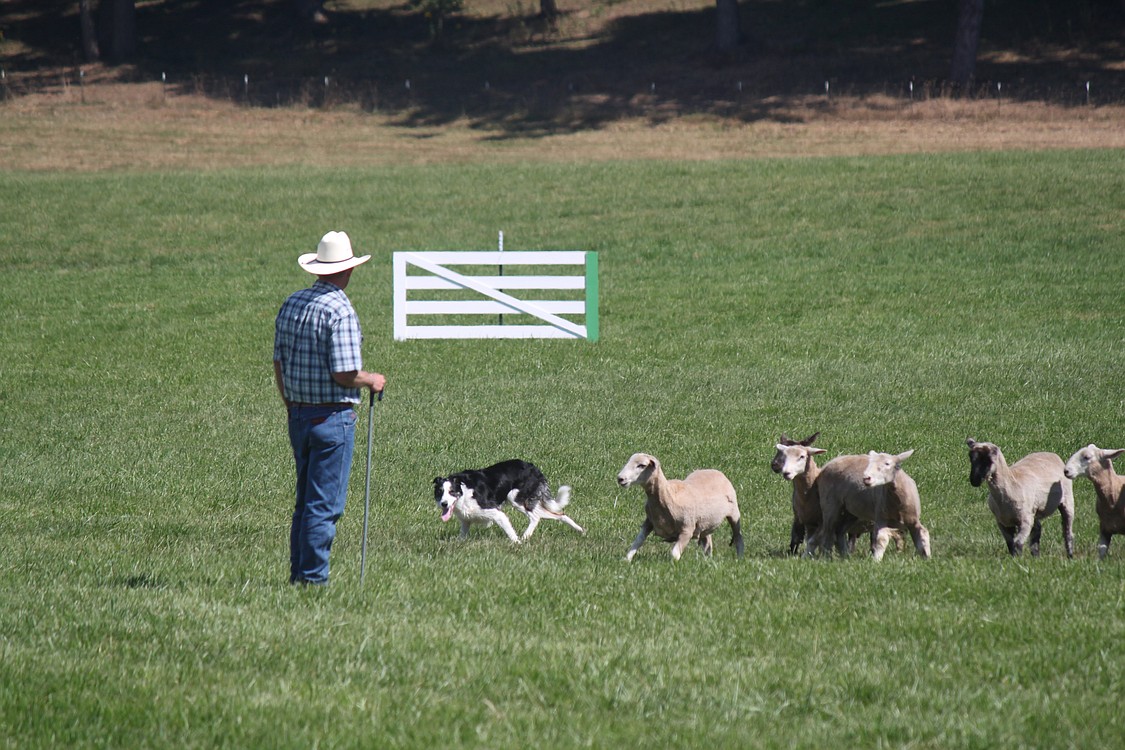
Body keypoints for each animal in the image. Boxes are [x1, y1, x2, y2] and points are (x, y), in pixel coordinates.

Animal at [612, 452, 742, 562]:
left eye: (641, 465)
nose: (620, 478)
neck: (669, 495)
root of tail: (715, 471)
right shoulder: (649, 522)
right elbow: (637, 541)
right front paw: (627, 559)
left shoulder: (687, 529)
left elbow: (674, 554)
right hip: (705, 522)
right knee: (707, 542)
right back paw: (707, 560)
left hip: (734, 513)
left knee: (738, 537)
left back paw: (740, 558)